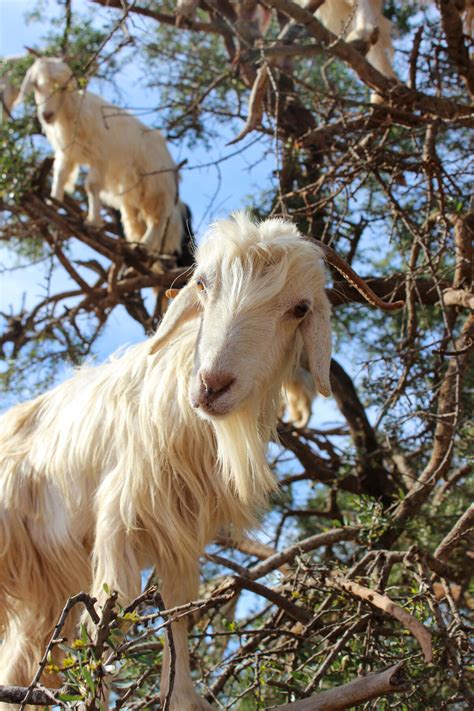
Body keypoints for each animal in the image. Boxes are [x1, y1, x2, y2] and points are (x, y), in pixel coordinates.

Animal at [0, 213, 404, 711]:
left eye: (300, 309)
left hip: (43, 586)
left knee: (25, 657)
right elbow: (108, 621)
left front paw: (182, 698)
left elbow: (176, 613)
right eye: (203, 284)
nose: (213, 385)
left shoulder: (180, 537)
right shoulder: (118, 522)